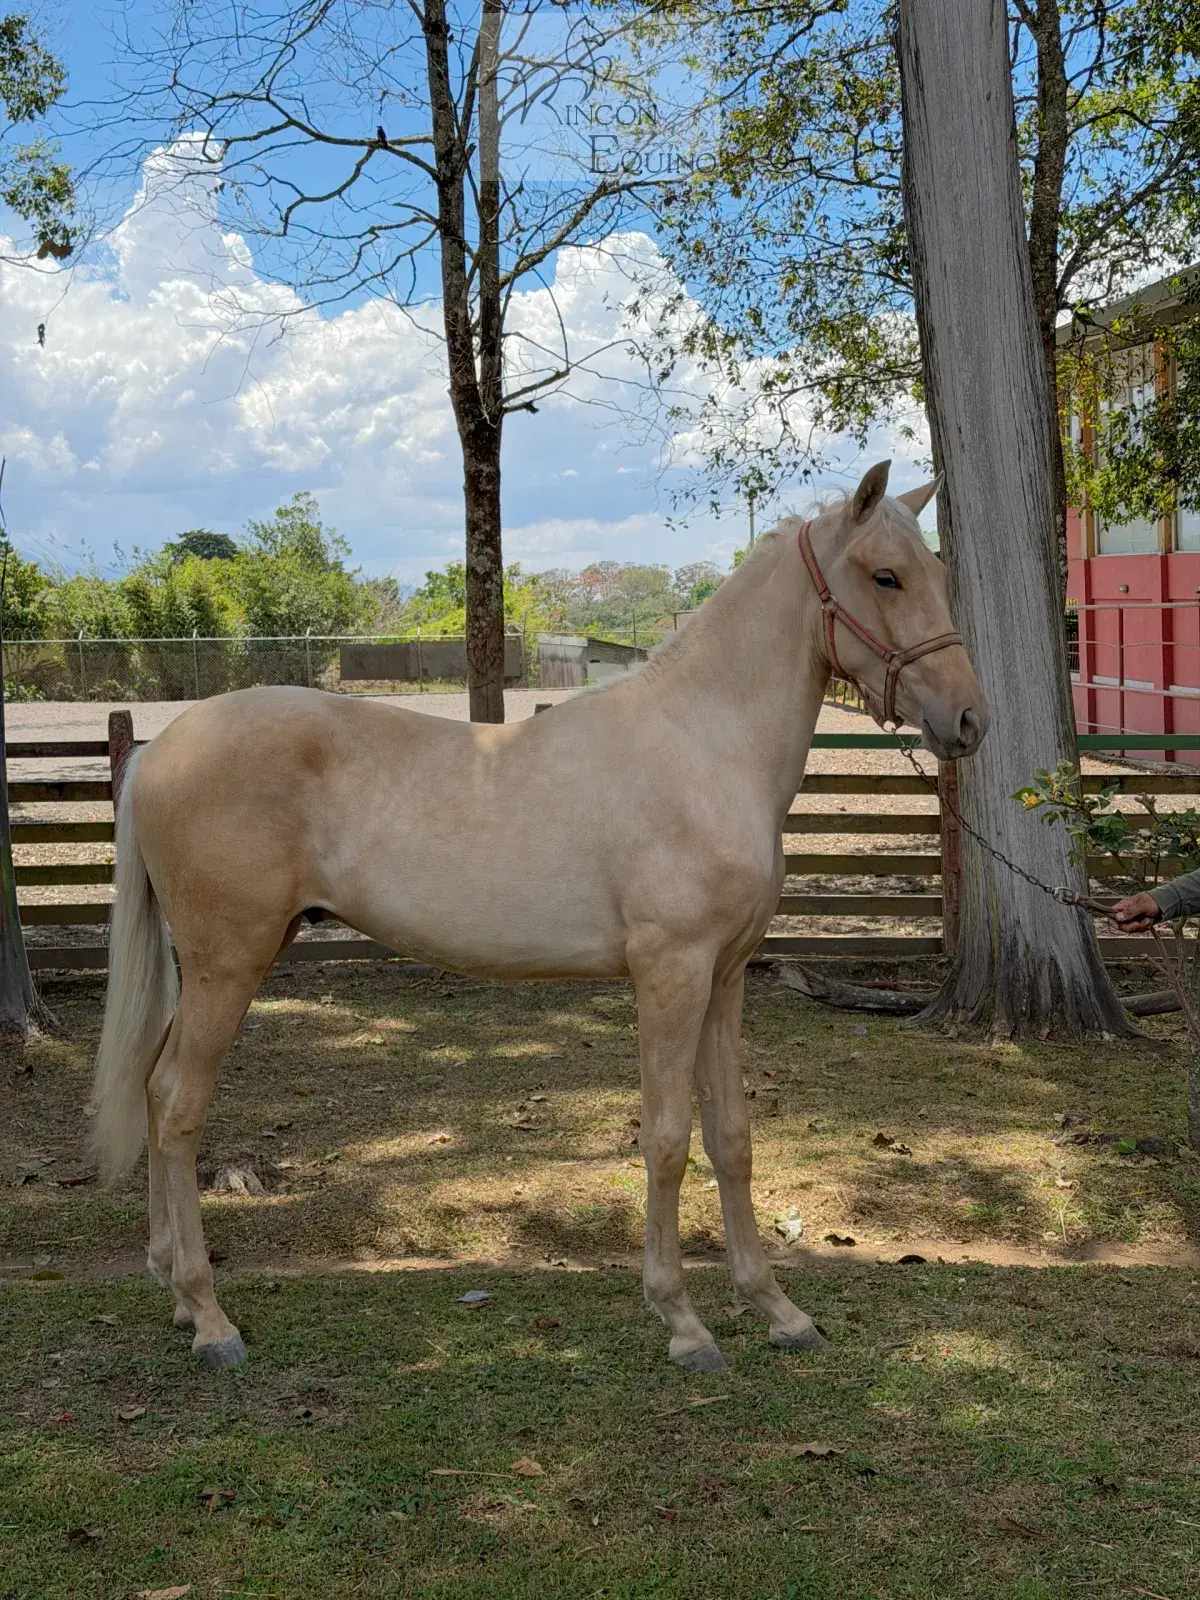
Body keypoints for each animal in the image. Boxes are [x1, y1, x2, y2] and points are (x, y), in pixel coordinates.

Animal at [88, 460, 987, 1373]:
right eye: (886, 576)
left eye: (937, 571)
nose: (967, 720)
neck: (704, 744)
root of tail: (157, 753)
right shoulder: (671, 975)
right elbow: (667, 1139)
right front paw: (684, 1322)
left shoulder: (726, 975)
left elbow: (731, 1136)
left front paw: (779, 1310)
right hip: (228, 964)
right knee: (177, 1106)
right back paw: (209, 1318)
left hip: (211, 968)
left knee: (153, 1087)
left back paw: (174, 1292)